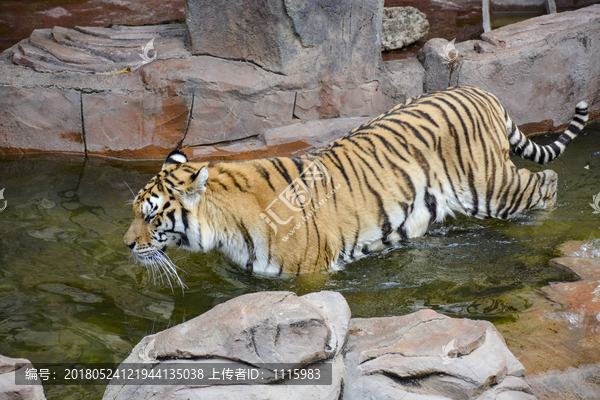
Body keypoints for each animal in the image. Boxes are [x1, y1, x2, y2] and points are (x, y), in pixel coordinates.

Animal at [124, 85, 588, 284]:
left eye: (152, 216)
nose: (127, 245)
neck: (225, 232)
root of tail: (482, 91)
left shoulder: (311, 273)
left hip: (491, 187)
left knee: (547, 182)